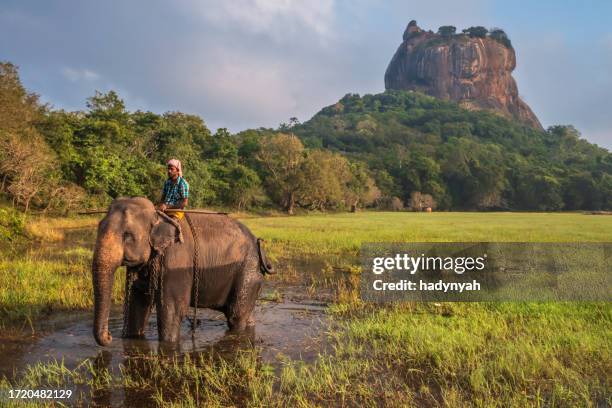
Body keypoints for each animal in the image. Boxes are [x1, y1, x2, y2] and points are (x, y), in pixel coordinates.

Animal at [91, 196, 272, 346]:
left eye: (127, 235)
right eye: (98, 228)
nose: (110, 337)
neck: (157, 215)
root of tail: (258, 244)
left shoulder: (176, 260)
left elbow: (172, 308)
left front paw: (168, 345)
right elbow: (138, 302)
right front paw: (132, 338)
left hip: (247, 270)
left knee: (236, 314)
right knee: (245, 314)